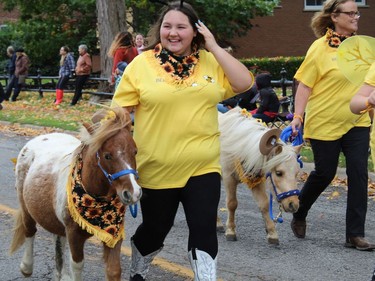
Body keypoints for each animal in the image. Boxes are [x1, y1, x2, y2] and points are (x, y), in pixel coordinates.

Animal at [9, 107, 142, 280]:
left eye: (135, 152)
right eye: (107, 155)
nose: (133, 192)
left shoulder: (113, 235)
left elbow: (114, 270)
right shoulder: (74, 235)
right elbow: (77, 265)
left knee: (58, 240)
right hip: (25, 205)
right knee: (30, 230)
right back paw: (26, 267)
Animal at [217, 108, 302, 244]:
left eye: (296, 173)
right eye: (278, 173)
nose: (293, 205)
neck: (239, 144)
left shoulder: (256, 181)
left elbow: (264, 204)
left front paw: (272, 233)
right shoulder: (228, 177)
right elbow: (231, 203)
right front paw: (230, 230)